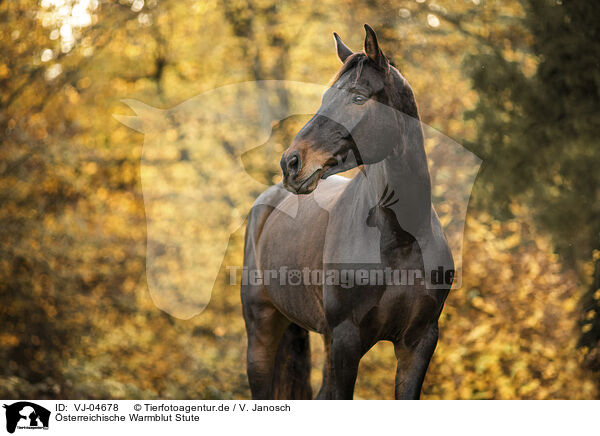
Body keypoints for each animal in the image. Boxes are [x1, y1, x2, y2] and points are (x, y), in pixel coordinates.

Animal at [241, 23, 452, 398]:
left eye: (357, 98)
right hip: (262, 332)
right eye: (326, 98)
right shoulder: (346, 341)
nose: (291, 163)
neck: (400, 240)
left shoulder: (419, 342)